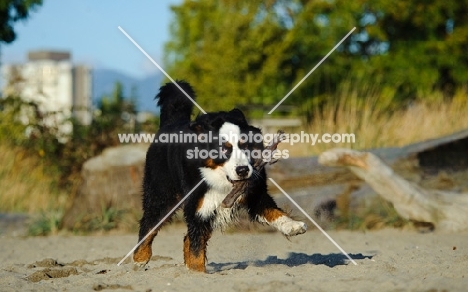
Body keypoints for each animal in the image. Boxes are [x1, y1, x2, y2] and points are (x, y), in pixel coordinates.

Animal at [133, 81, 308, 272]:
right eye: (224, 149)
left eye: (245, 146)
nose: (242, 170)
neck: (222, 182)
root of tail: (171, 123)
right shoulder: (198, 208)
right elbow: (196, 249)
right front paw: (197, 272)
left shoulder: (253, 193)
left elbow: (272, 210)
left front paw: (292, 225)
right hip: (162, 196)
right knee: (149, 224)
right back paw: (140, 258)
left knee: (187, 237)